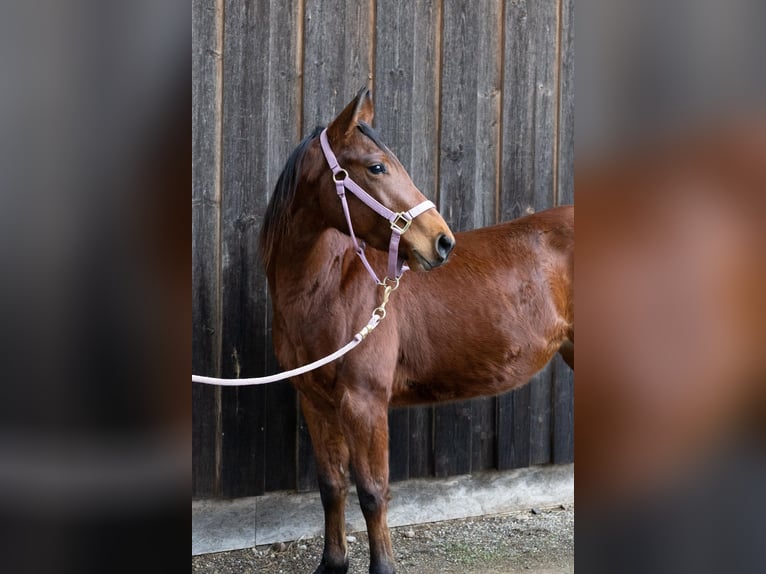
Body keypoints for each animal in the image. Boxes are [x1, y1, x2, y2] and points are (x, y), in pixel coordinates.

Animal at [259, 87, 574, 574]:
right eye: (376, 167)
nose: (442, 242)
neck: (330, 286)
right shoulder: (315, 401)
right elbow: (332, 486)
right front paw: (333, 564)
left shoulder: (364, 403)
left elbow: (373, 493)